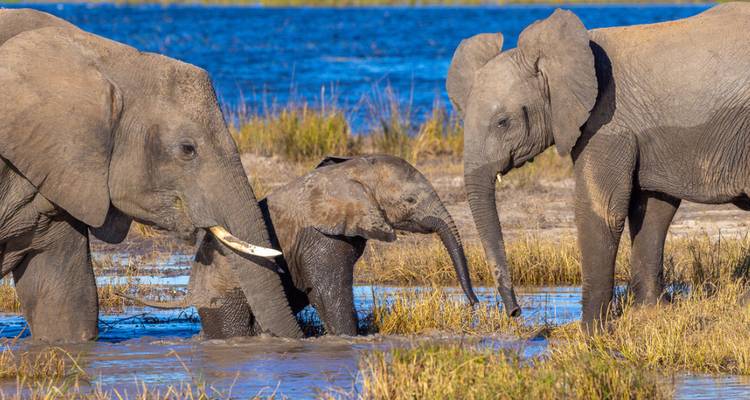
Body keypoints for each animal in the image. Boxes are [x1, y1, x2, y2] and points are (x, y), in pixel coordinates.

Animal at [128, 154, 479, 337]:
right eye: (410, 201)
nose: (474, 304)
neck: (349, 171)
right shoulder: (318, 237)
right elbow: (326, 291)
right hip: (225, 295)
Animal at [447, 3, 750, 328]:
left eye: (503, 122)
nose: (516, 312)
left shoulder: (606, 121)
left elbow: (600, 211)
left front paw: (592, 331)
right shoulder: (647, 133)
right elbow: (653, 209)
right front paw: (650, 313)